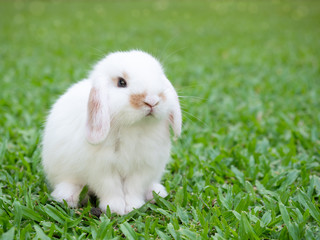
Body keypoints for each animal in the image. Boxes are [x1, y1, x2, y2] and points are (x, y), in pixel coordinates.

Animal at [42, 49, 181, 215]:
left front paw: (133, 206)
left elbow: (133, 188)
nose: (152, 101)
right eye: (121, 82)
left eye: (159, 77)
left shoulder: (142, 167)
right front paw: (115, 209)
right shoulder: (103, 170)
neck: (132, 126)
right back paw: (68, 197)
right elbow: (111, 189)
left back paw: (156, 193)